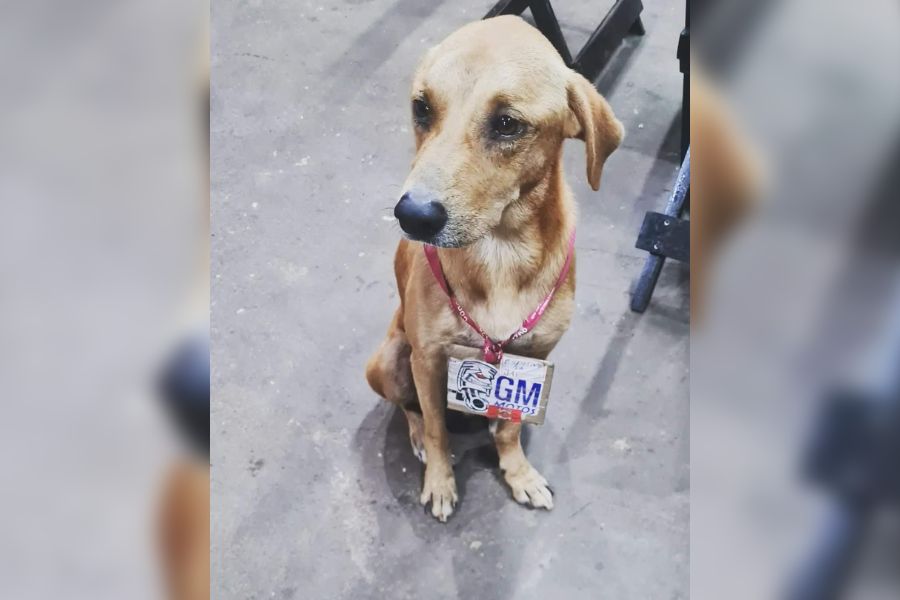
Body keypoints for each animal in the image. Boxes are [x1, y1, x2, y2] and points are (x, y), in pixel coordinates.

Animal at [362, 14, 624, 520]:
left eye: (507, 124)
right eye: (422, 108)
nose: (413, 216)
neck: (501, 252)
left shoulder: (535, 357)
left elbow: (510, 427)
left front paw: (517, 472)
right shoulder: (428, 358)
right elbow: (438, 427)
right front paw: (440, 481)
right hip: (389, 360)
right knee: (411, 409)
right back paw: (417, 437)